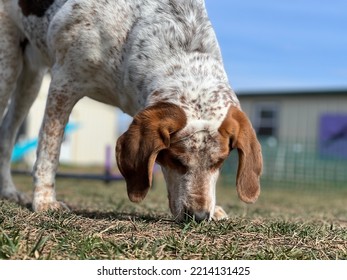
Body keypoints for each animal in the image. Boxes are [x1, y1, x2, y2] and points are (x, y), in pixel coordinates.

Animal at [0, 0, 262, 223]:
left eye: (219, 162)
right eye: (176, 159)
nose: (198, 216)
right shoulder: (64, 84)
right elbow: (49, 151)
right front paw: (44, 201)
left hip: (31, 79)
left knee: (7, 133)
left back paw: (8, 191)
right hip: (8, 66)